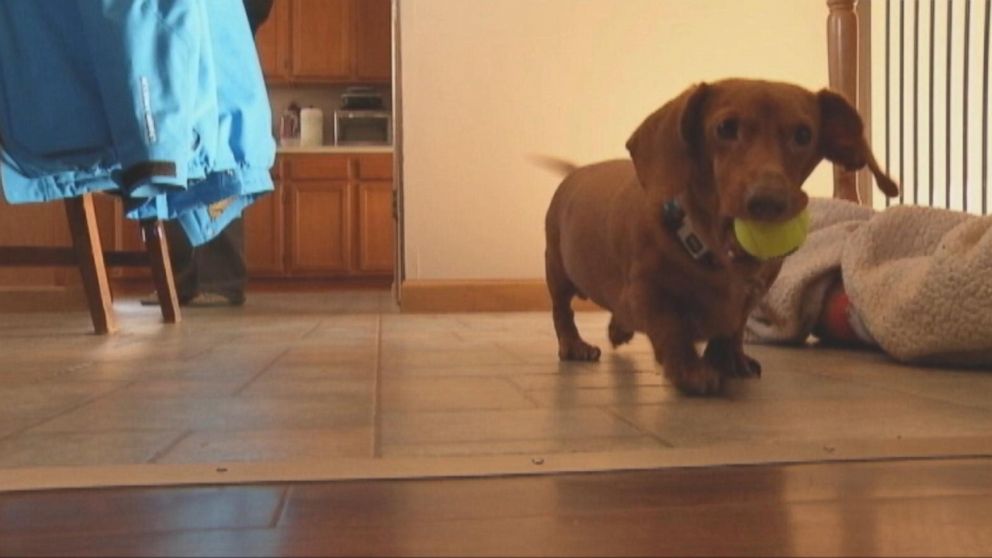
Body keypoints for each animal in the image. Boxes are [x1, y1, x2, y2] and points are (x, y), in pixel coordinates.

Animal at [544, 79, 900, 396]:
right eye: (726, 128)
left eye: (803, 134)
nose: (768, 201)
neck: (708, 250)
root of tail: (575, 173)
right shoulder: (648, 291)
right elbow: (670, 327)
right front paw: (691, 370)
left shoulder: (752, 294)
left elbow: (733, 328)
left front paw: (731, 359)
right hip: (558, 273)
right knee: (562, 312)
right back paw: (575, 345)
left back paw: (620, 330)